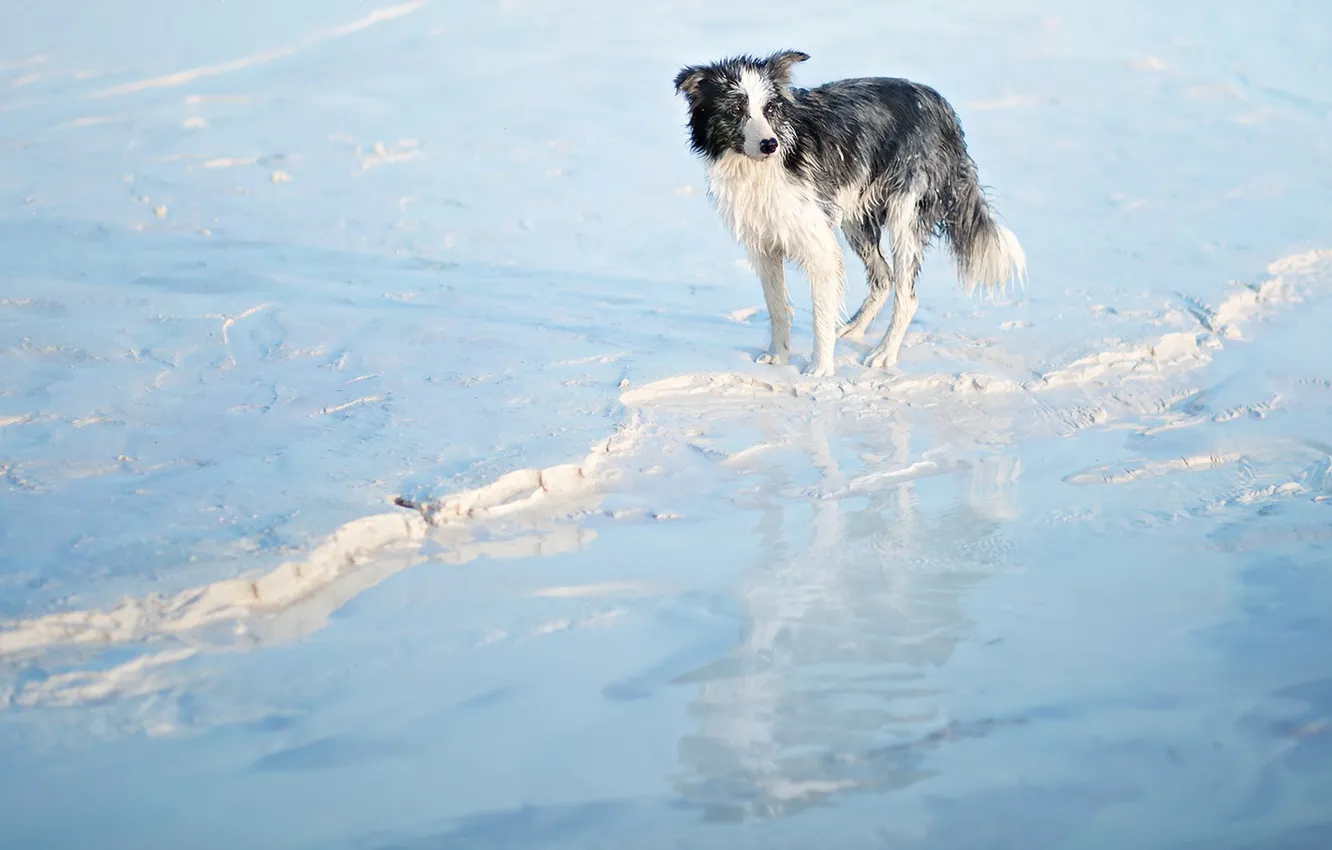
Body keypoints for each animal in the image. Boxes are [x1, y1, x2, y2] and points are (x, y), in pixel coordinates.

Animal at [671, 49, 1022, 375]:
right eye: (735, 110)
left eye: (770, 109)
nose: (769, 144)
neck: (764, 166)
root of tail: (939, 103)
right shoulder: (764, 245)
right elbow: (777, 307)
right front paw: (778, 357)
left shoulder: (819, 246)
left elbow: (821, 313)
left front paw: (820, 370)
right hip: (856, 218)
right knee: (884, 277)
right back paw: (853, 329)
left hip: (906, 214)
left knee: (907, 296)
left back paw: (884, 353)